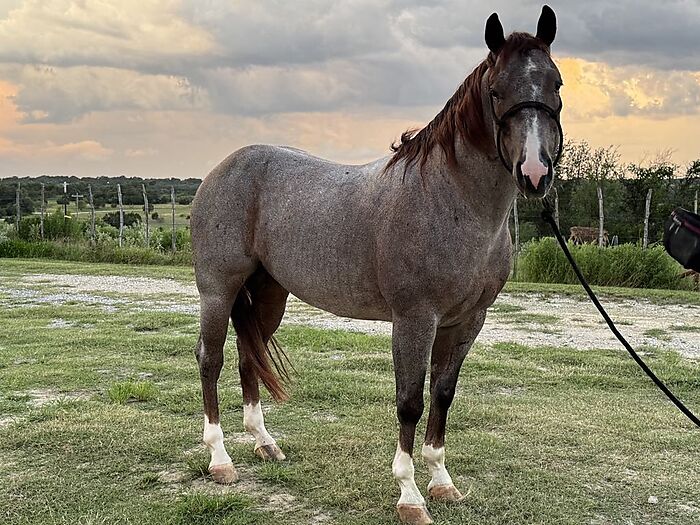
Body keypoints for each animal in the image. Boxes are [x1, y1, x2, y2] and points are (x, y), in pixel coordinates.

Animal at [190, 6, 563, 524]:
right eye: (495, 91)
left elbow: (443, 395)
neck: (450, 200)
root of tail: (221, 170)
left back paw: (265, 443)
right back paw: (220, 459)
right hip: (218, 290)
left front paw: (442, 482)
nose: (535, 171)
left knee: (250, 354)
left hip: (267, 293)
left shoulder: (467, 320)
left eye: (556, 83)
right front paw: (410, 495)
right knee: (212, 359)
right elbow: (410, 401)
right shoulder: (414, 319)